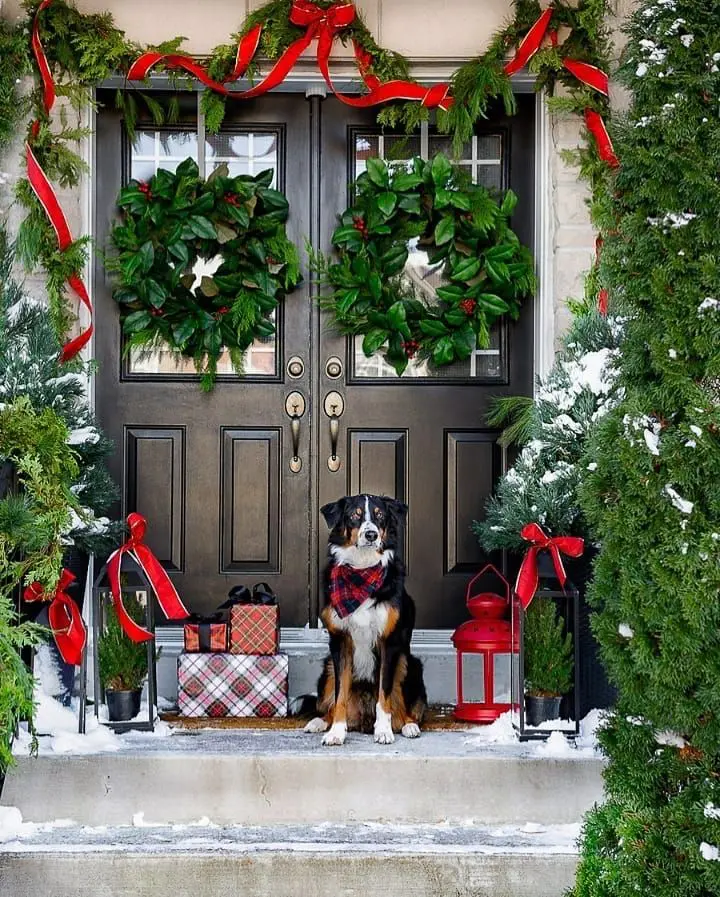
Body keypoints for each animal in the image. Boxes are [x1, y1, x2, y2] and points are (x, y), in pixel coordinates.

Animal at [304, 494, 428, 744]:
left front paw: (384, 731)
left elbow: (384, 694)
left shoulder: (389, 642)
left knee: (404, 707)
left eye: (380, 515)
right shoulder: (340, 642)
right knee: (329, 704)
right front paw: (336, 732)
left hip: (408, 663)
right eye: (355, 515)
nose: (371, 535)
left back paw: (408, 725)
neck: (361, 570)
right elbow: (340, 694)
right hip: (327, 668)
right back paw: (319, 722)